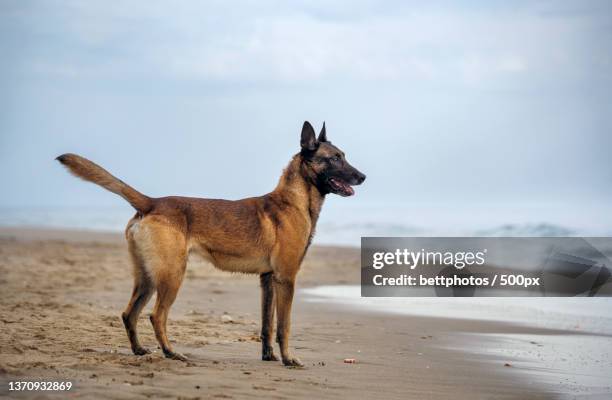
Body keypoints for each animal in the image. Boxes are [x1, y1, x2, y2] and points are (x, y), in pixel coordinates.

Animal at [56, 121, 364, 366]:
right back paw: (170, 352)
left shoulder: (268, 279)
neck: (292, 201)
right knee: (156, 316)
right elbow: (283, 326)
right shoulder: (286, 278)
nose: (363, 177)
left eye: (344, 156)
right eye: (334, 158)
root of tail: (152, 202)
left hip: (147, 277)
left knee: (128, 314)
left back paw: (140, 350)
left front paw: (269, 357)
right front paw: (288, 359)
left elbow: (267, 325)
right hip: (171, 275)